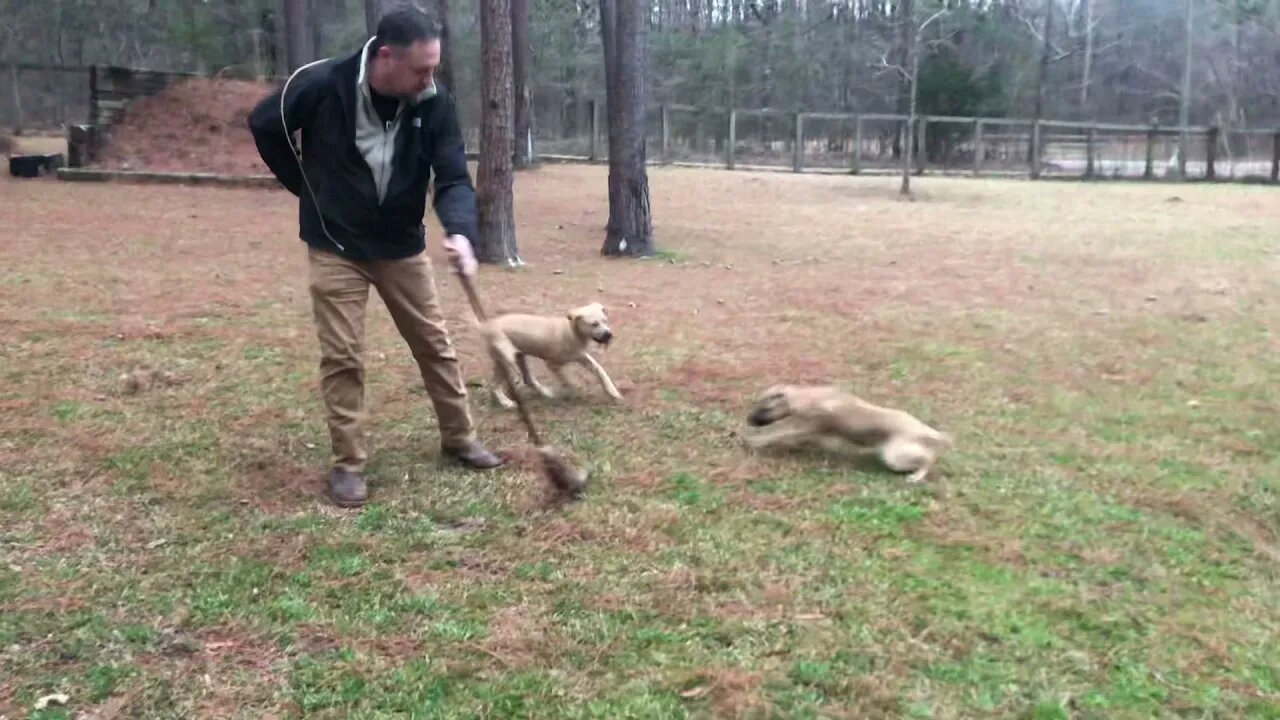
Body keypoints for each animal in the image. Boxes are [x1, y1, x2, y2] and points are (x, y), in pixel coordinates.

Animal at [478, 299, 622, 407]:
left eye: (605, 320)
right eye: (593, 324)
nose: (609, 335)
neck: (572, 333)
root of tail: (486, 326)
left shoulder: (582, 357)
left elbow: (601, 372)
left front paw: (613, 392)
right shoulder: (552, 364)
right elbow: (568, 380)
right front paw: (577, 391)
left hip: (520, 357)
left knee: (528, 379)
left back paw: (547, 394)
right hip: (506, 360)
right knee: (494, 384)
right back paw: (506, 402)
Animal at [742, 381, 952, 481]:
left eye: (763, 408)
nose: (748, 420)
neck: (805, 397)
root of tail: (926, 431)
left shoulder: (804, 426)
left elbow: (776, 435)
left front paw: (753, 441)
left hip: (894, 455)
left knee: (927, 460)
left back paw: (916, 476)